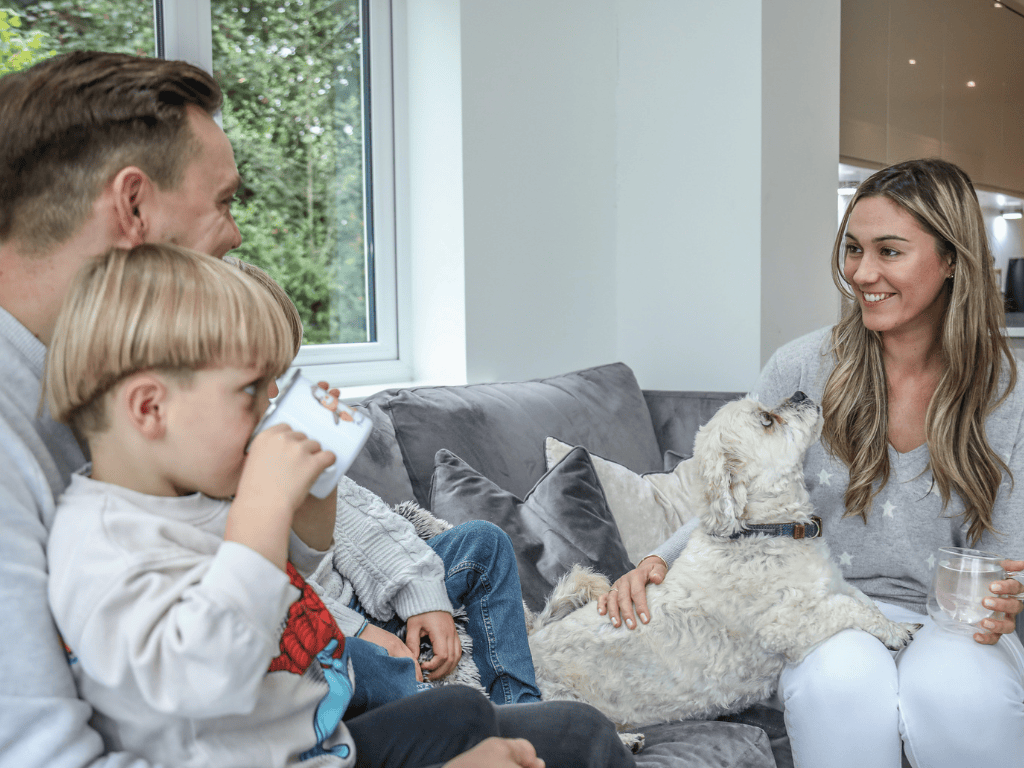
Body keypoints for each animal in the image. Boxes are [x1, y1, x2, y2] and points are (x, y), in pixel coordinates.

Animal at [528, 393, 921, 729]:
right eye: (767, 420)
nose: (799, 393)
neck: (766, 531)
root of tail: (532, 637)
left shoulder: (834, 583)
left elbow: (865, 602)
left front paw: (896, 623)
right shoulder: (789, 625)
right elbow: (850, 608)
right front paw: (895, 634)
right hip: (556, 696)